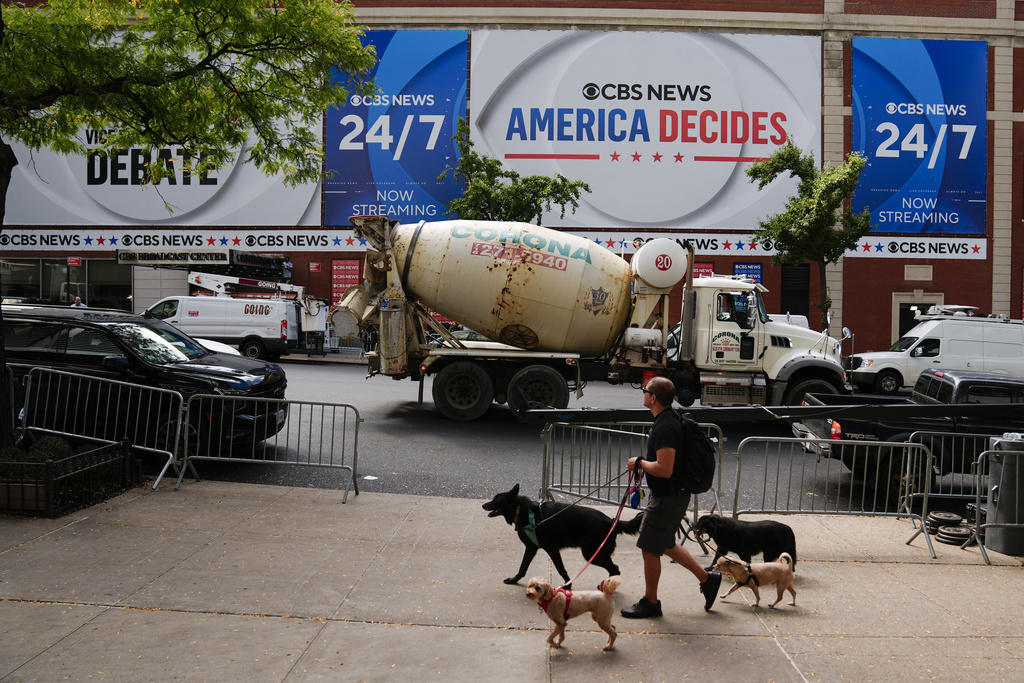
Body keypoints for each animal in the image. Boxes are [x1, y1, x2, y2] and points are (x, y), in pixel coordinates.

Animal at [481, 483, 638, 585]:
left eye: (496, 500)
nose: (483, 505)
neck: (524, 511)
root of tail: (611, 521)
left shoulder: (551, 549)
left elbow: (560, 568)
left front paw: (568, 586)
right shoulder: (531, 548)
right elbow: (523, 567)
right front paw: (514, 580)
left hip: (591, 553)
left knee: (615, 569)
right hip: (598, 553)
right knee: (614, 568)